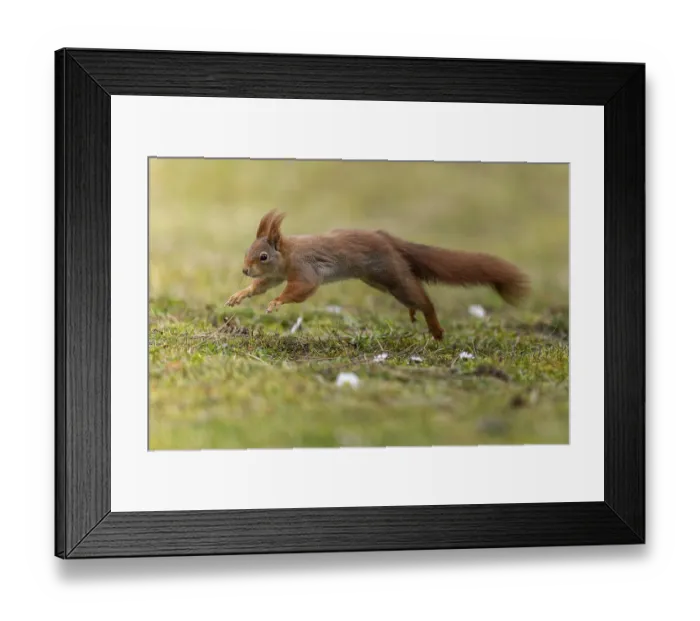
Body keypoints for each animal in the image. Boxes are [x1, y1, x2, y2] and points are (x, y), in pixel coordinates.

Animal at [225, 210, 530, 340]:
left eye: (263, 256)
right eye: (247, 251)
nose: (244, 270)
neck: (286, 255)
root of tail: (389, 240)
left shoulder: (304, 269)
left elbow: (302, 289)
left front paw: (276, 302)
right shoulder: (276, 275)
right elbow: (261, 285)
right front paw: (240, 294)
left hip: (391, 273)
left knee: (425, 300)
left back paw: (435, 328)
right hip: (381, 280)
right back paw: (415, 314)